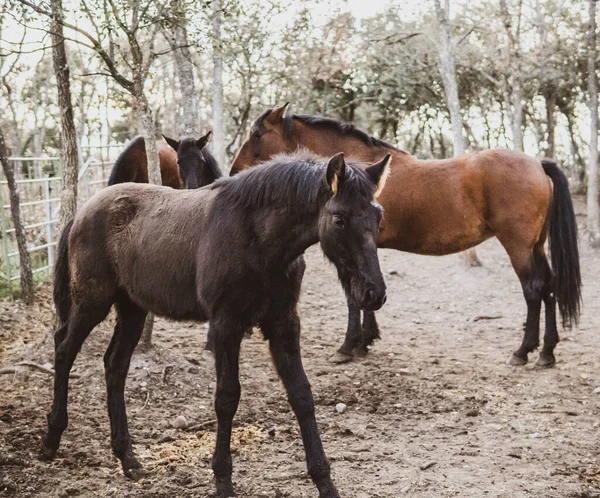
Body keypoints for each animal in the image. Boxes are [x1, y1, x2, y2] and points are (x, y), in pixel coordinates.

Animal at [42, 153, 390, 498]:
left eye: (378, 216)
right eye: (339, 219)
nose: (373, 293)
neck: (257, 238)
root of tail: (82, 213)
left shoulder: (283, 323)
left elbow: (301, 394)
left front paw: (325, 483)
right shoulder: (226, 323)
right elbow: (227, 397)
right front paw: (223, 479)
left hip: (132, 309)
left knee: (115, 365)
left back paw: (127, 458)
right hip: (93, 302)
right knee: (64, 349)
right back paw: (51, 440)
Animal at [230, 105, 580, 368]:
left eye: (257, 133)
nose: (234, 171)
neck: (357, 174)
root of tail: (538, 164)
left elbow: (352, 295)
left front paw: (348, 347)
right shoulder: (364, 248)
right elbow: (365, 292)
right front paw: (366, 341)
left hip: (518, 247)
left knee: (534, 290)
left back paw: (523, 352)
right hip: (536, 246)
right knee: (549, 288)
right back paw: (547, 352)